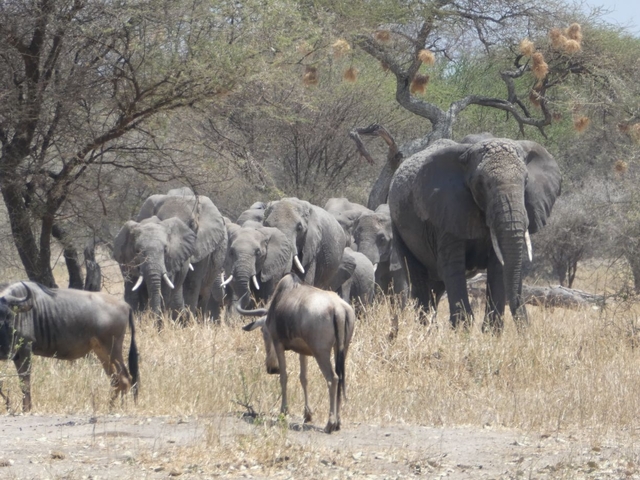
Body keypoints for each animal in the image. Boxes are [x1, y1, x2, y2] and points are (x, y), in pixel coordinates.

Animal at [387, 136, 561, 332]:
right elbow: (453, 265)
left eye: (526, 181)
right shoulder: (446, 212)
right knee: (417, 278)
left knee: (436, 287)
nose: (525, 329)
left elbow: (498, 266)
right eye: (481, 184)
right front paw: (462, 333)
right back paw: (425, 331)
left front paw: (490, 334)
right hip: (398, 226)